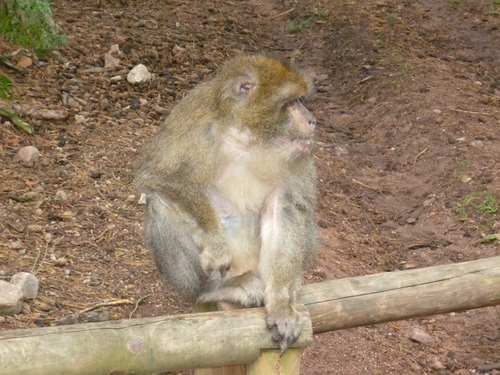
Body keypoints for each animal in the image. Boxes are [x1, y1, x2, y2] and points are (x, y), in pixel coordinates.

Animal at [135, 53, 316, 352]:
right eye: (290, 104)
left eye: (301, 101)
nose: (312, 121)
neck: (246, 137)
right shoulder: (193, 122)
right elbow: (159, 176)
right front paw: (215, 243)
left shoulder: (298, 155)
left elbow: (286, 207)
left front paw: (280, 303)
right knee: (160, 205)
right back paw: (214, 289)